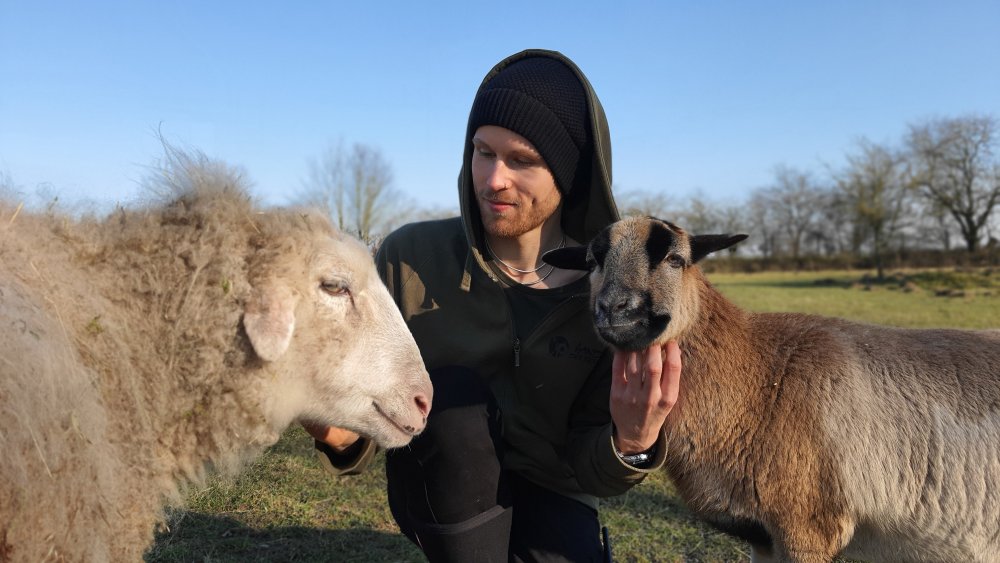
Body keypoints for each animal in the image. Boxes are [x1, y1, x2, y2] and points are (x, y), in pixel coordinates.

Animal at [544, 215, 1000, 560]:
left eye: (676, 258)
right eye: (592, 261)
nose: (617, 311)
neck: (759, 379)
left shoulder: (808, 527)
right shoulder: (761, 536)